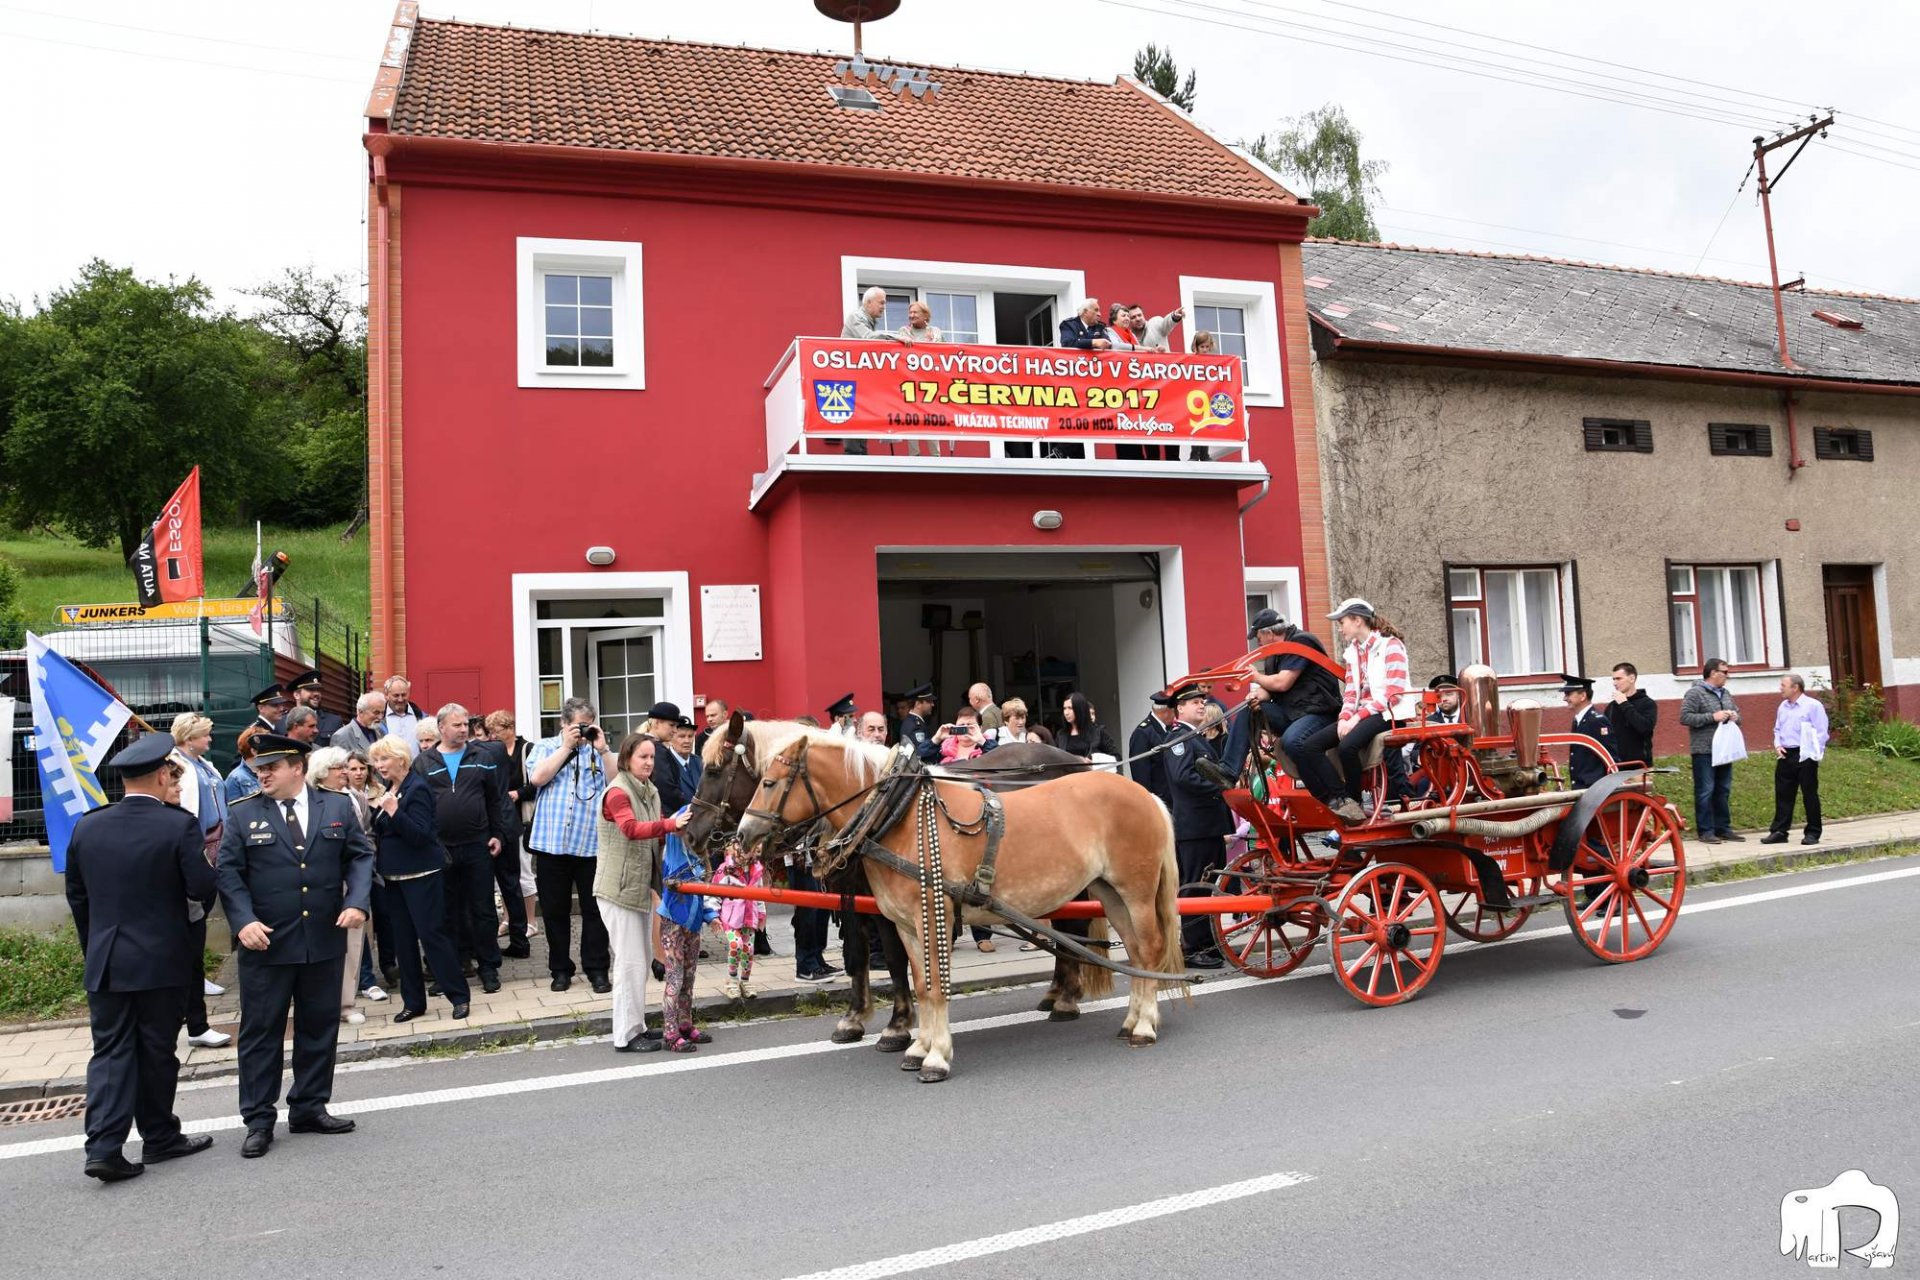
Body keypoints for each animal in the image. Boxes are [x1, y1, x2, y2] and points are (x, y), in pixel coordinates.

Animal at [733, 721, 1182, 1082]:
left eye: (769, 783)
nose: (742, 835)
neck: (897, 815)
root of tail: (1147, 794)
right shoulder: (905, 923)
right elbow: (919, 982)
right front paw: (918, 1048)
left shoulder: (933, 914)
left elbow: (935, 985)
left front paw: (936, 1057)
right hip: (1110, 893)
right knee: (1135, 952)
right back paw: (1129, 1021)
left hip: (1136, 891)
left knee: (1149, 949)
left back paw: (1143, 1026)